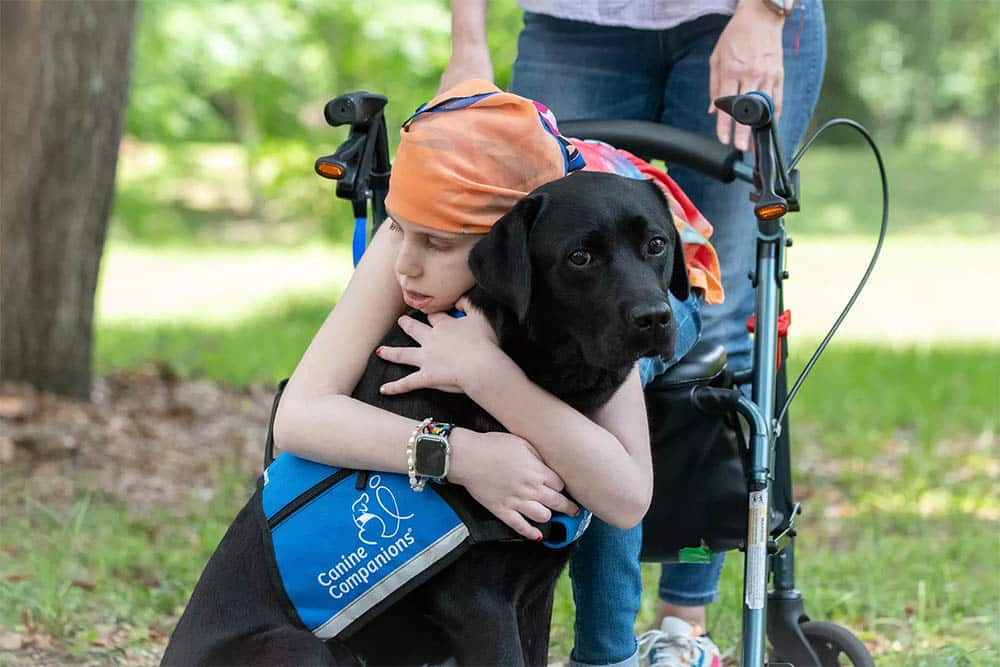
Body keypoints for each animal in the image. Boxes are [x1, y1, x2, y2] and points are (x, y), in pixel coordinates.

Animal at [164, 170, 692, 664]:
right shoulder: (479, 602)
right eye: (579, 257)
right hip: (302, 646)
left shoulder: (534, 594)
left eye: (657, 244)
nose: (654, 318)